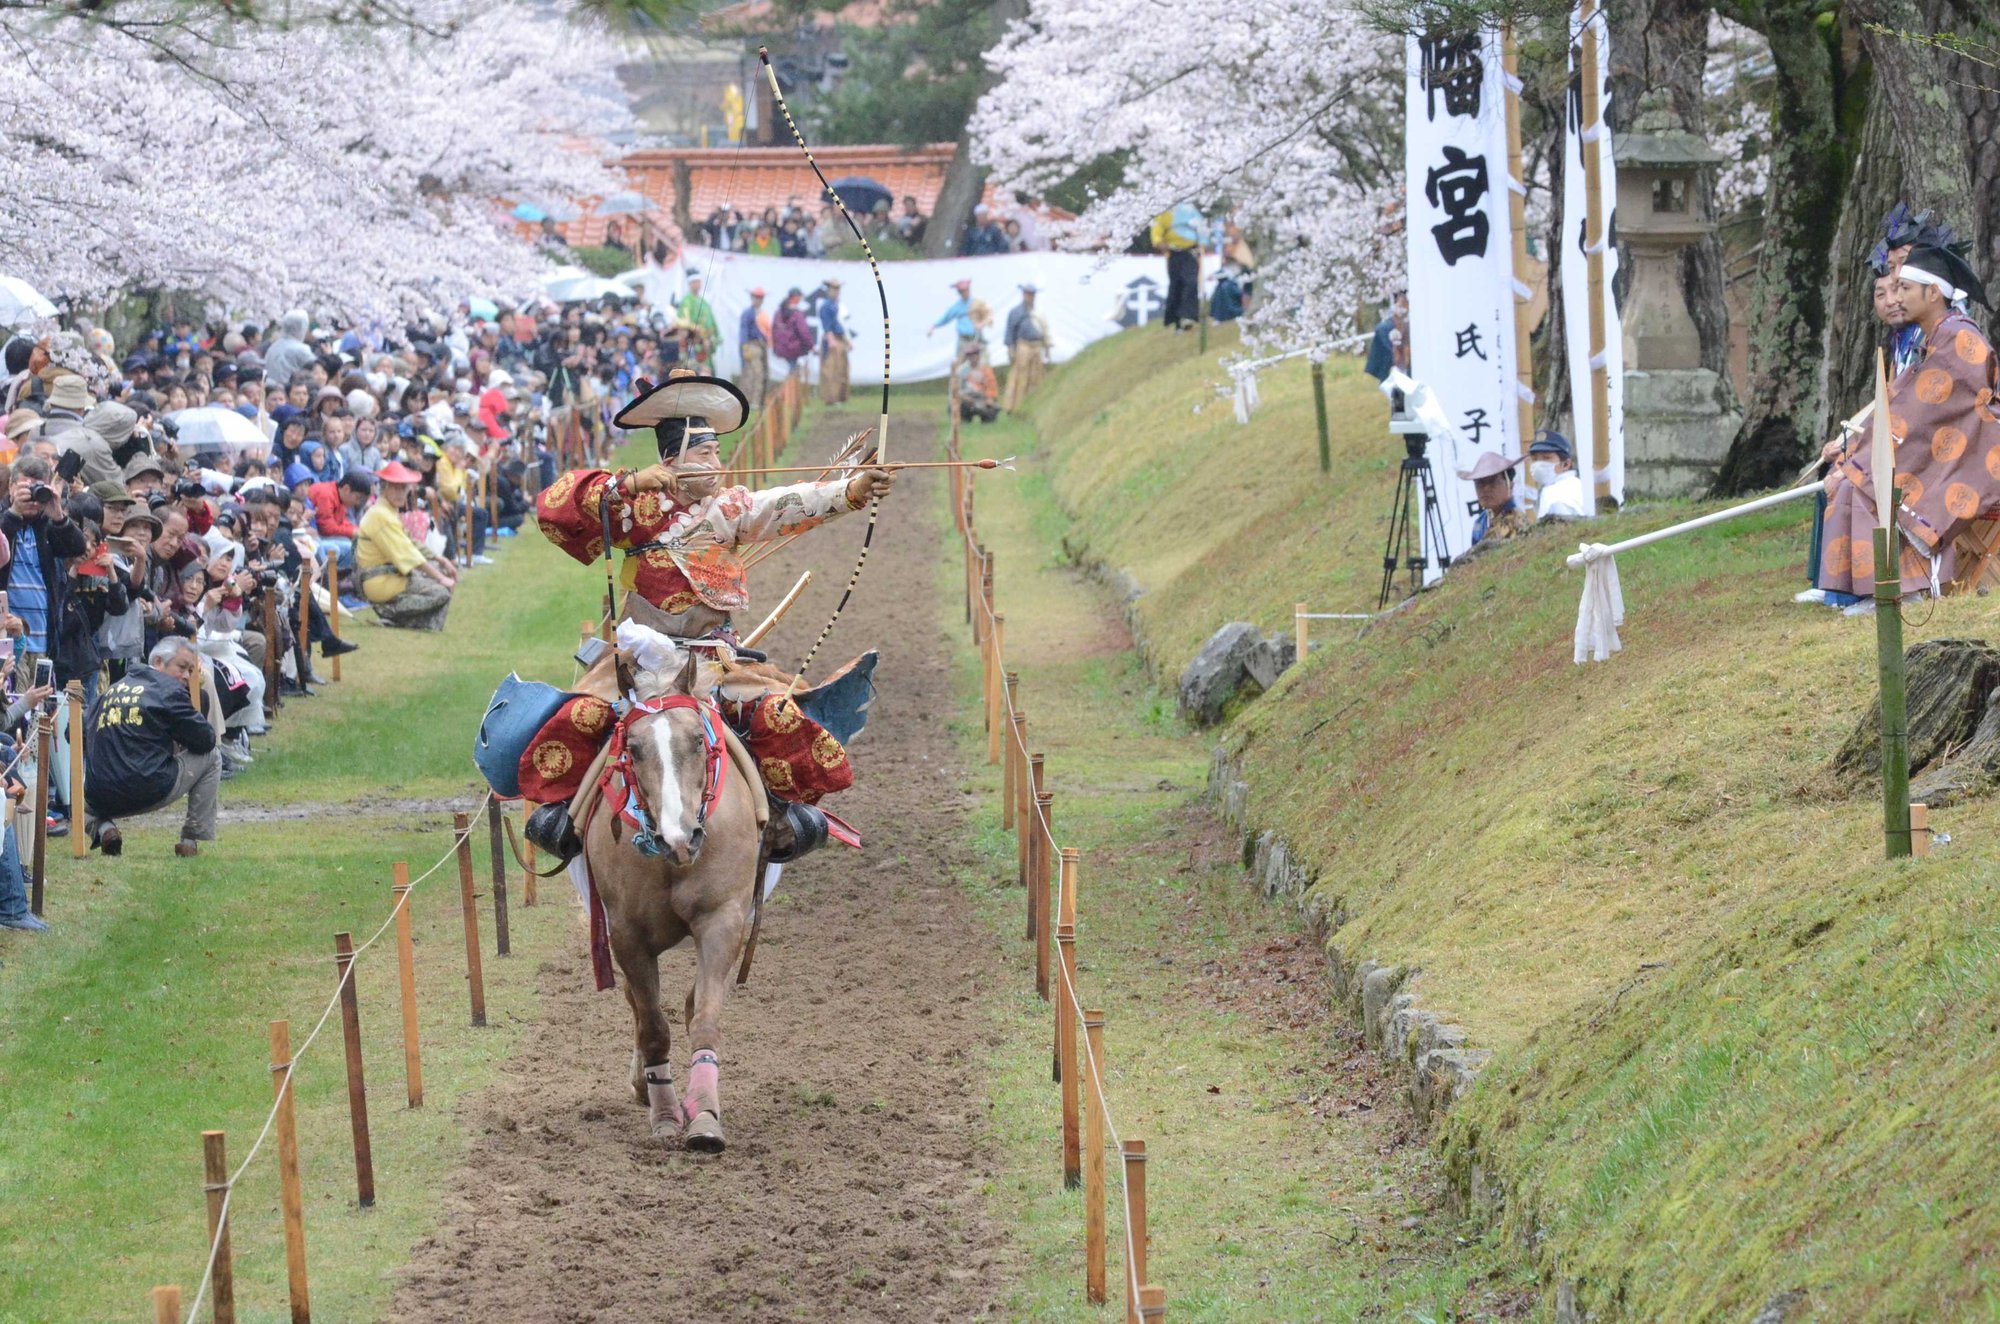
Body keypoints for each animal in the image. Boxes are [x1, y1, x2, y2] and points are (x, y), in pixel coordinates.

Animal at [584, 644, 764, 1152]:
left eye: (698, 742)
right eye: (633, 748)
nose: (679, 837)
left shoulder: (722, 918)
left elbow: (703, 1017)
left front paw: (703, 1117)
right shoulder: (626, 933)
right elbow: (652, 1026)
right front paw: (664, 1114)